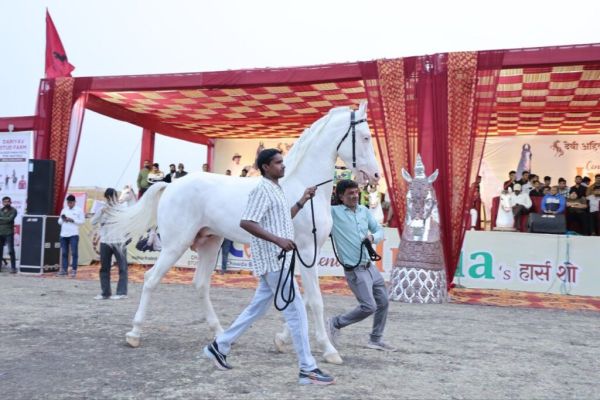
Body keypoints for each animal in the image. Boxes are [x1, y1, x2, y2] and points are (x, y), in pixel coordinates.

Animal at [105, 102, 380, 365]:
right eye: (366, 137)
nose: (375, 175)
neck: (303, 187)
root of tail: (170, 185)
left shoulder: (299, 254)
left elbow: (300, 298)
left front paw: (281, 340)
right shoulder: (306, 249)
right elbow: (315, 301)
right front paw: (329, 350)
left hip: (210, 243)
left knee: (200, 284)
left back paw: (220, 335)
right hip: (176, 244)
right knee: (151, 279)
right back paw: (134, 334)